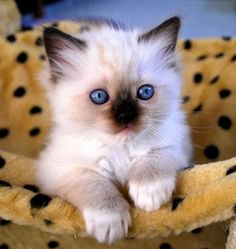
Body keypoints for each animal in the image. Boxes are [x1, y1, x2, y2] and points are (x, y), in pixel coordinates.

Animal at [36, 17, 192, 243]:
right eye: (99, 96)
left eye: (145, 92)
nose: (125, 116)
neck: (121, 148)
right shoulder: (62, 170)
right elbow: (97, 186)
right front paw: (110, 223)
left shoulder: (174, 148)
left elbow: (152, 160)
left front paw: (148, 195)